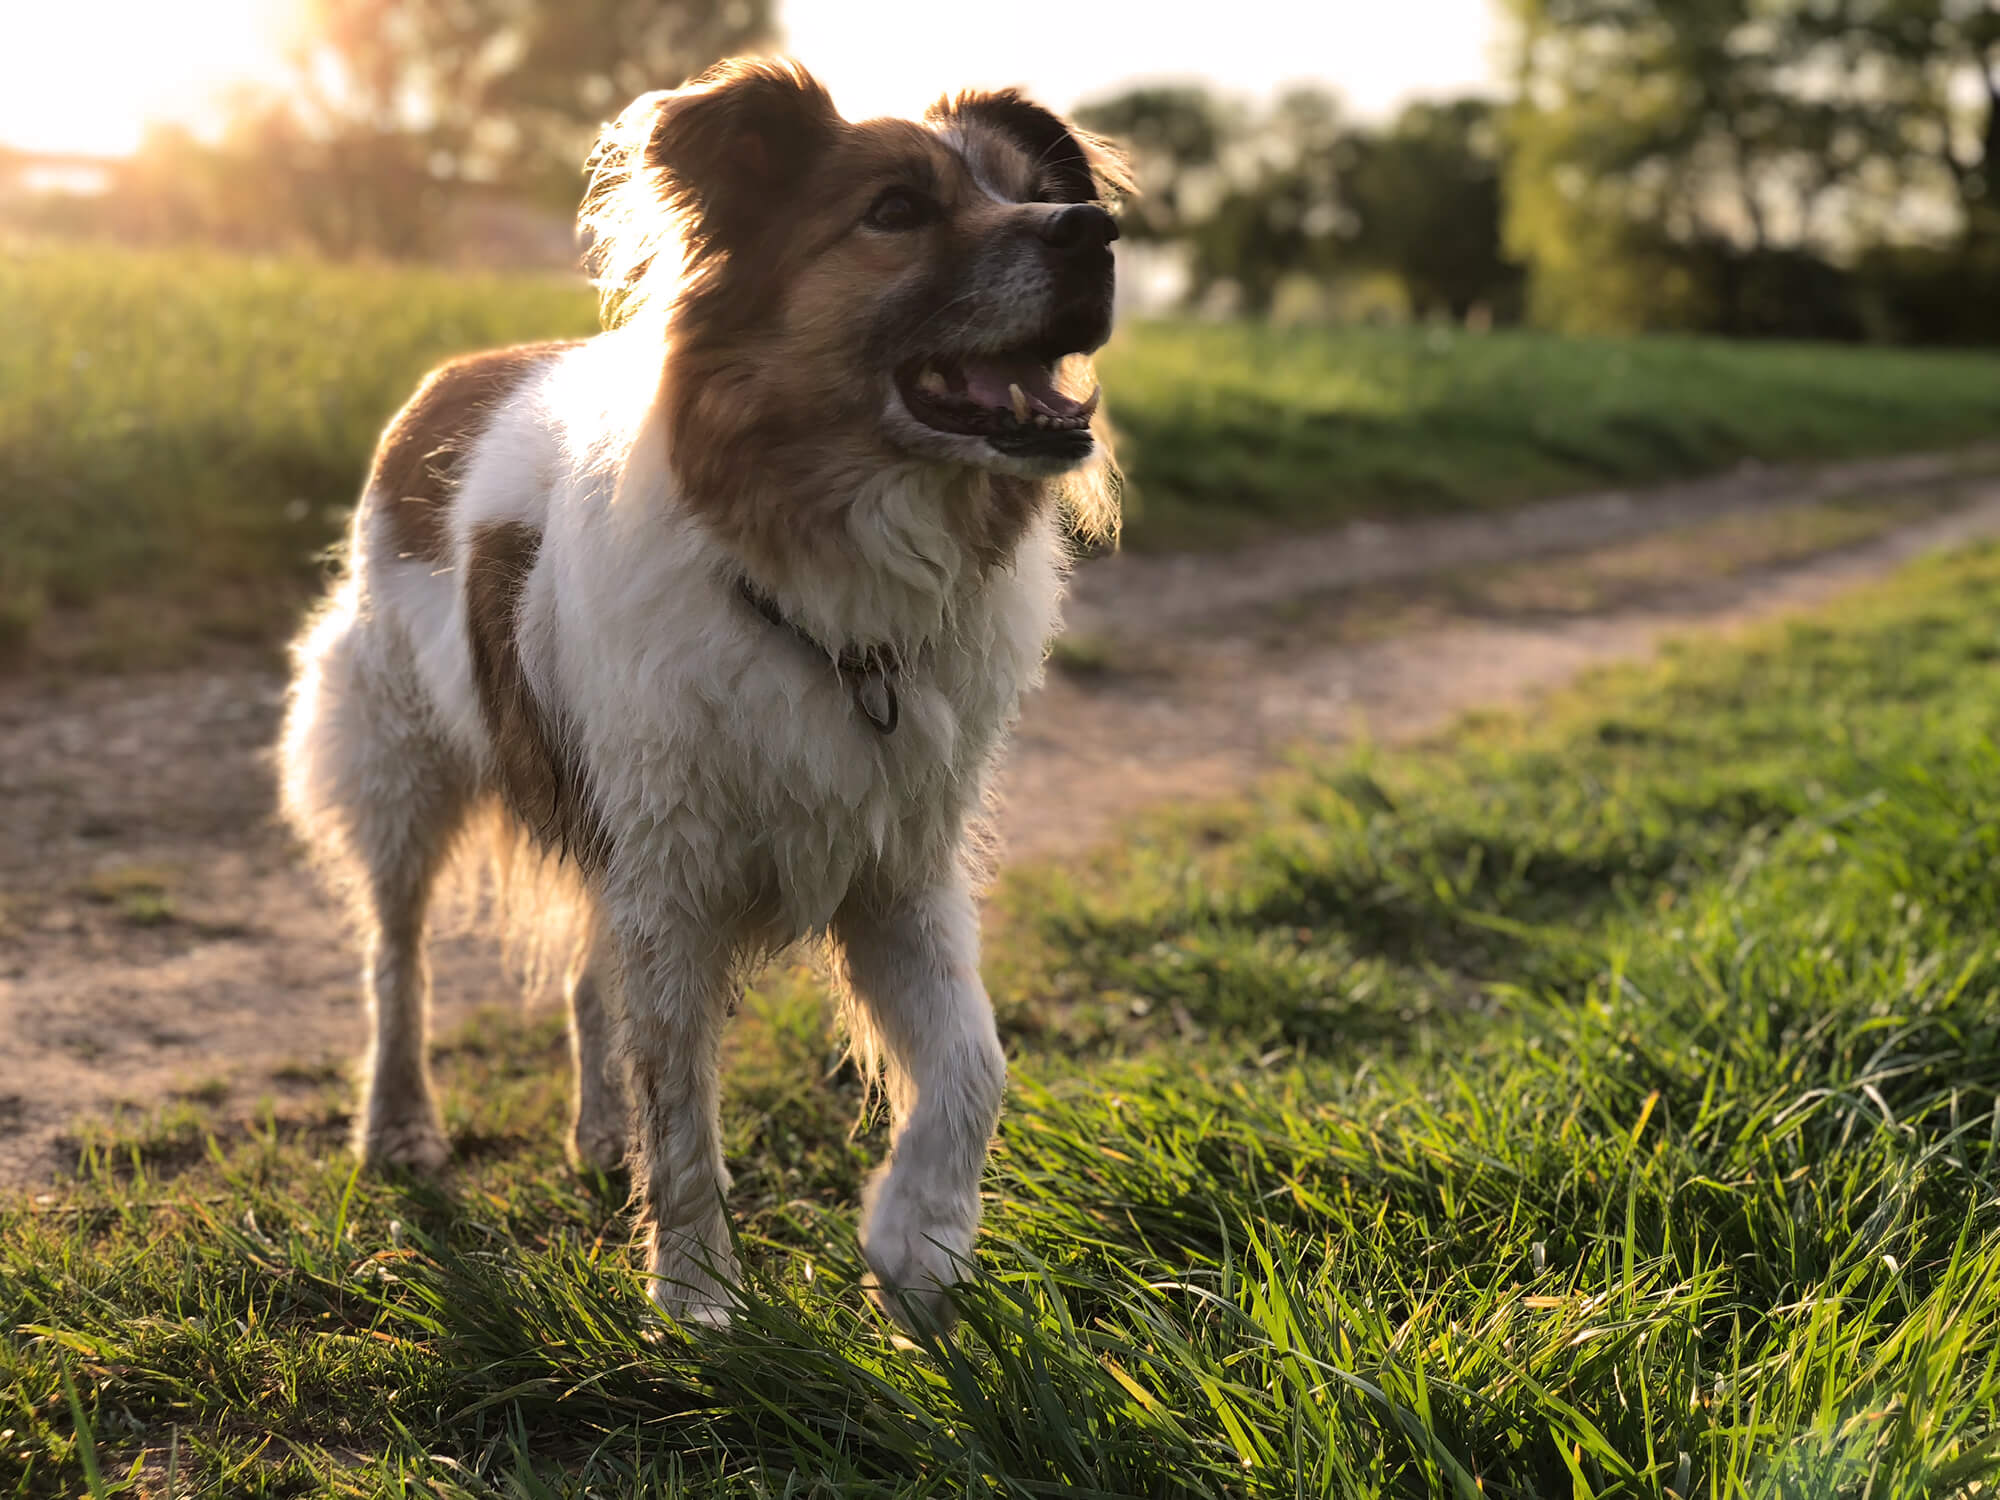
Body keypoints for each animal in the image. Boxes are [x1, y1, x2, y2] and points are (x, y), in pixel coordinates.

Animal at [276, 58, 1136, 1336]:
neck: (824, 585)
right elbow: (682, 1107)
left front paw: (915, 1247)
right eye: (894, 210)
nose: (1093, 231)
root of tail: (454, 373)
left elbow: (973, 1065)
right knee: (398, 961)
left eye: (1032, 189)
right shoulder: (674, 876)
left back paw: (596, 1136)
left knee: (587, 976)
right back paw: (399, 1130)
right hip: (399, 762)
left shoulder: (894, 863)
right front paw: (696, 1306)